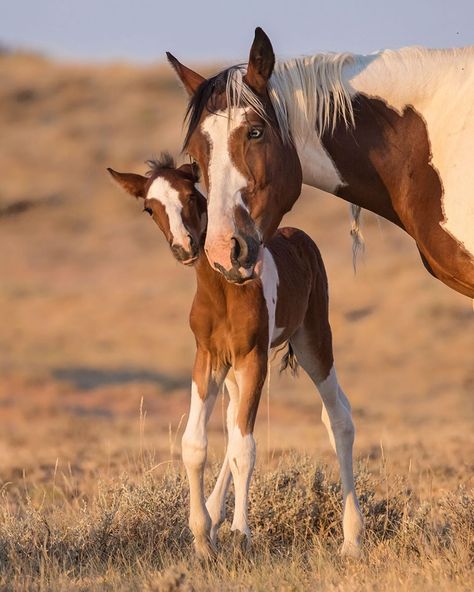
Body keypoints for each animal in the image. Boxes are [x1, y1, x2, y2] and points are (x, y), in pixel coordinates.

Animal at [109, 155, 364, 556]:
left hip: (313, 341)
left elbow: (246, 446)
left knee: (338, 417)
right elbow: (197, 444)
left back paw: (352, 538)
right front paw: (202, 538)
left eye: (190, 195)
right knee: (232, 424)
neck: (223, 291)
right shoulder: (208, 358)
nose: (185, 247)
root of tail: (298, 235)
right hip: (232, 373)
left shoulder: (252, 358)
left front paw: (240, 533)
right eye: (150, 208)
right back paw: (214, 516)